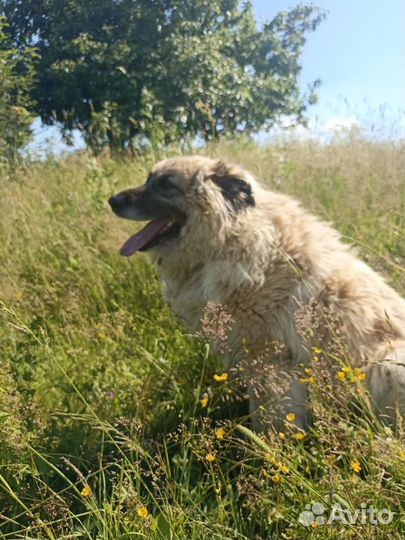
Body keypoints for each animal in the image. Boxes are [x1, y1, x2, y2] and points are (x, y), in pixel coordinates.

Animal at [108, 155, 404, 430]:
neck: (228, 237)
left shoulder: (268, 359)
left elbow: (270, 414)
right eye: (148, 180)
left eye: (166, 185)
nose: (112, 200)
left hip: (388, 364)